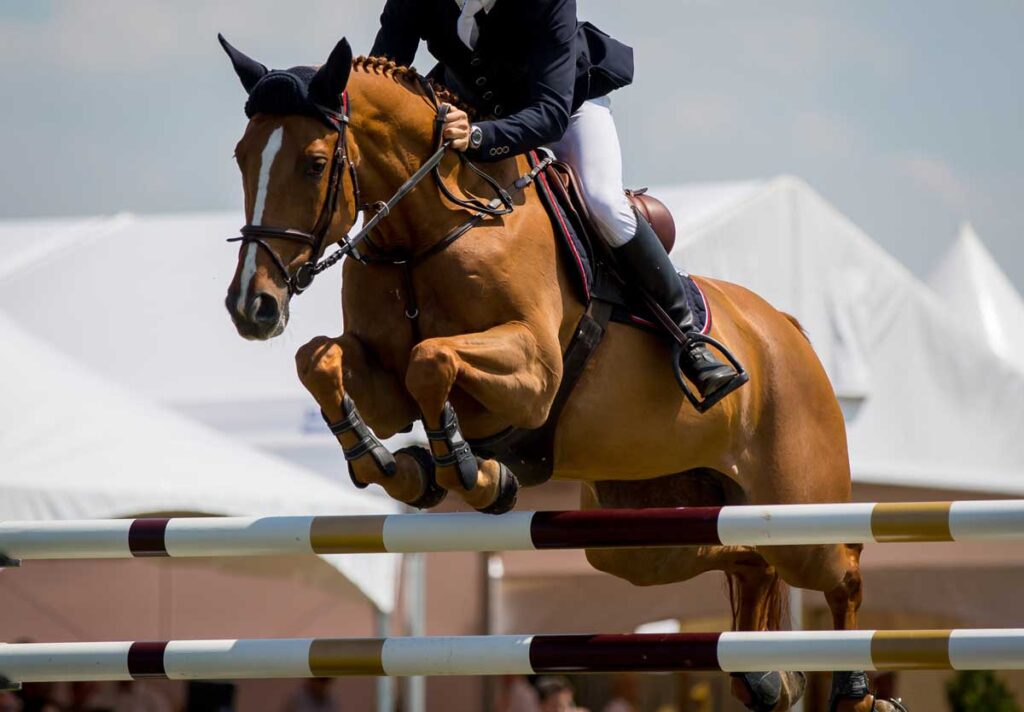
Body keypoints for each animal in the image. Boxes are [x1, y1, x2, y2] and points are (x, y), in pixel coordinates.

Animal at [220, 35, 900, 712]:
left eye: (313, 164)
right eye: (242, 157)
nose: (252, 307)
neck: (430, 233)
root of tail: (786, 330)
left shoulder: (535, 372)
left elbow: (431, 359)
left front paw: (472, 472)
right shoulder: (383, 381)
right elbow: (323, 360)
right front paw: (394, 466)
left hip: (798, 507)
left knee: (842, 567)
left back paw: (857, 692)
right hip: (644, 531)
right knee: (748, 558)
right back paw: (763, 677)